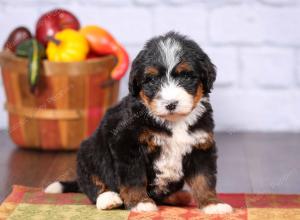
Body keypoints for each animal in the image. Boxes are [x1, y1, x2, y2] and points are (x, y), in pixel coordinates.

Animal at [44, 31, 233, 214]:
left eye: (186, 76)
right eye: (152, 80)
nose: (171, 104)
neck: (173, 121)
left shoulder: (200, 145)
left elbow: (204, 179)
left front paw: (212, 204)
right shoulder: (127, 143)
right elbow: (134, 178)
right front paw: (140, 202)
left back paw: (180, 196)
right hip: (89, 153)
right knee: (93, 183)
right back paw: (108, 199)